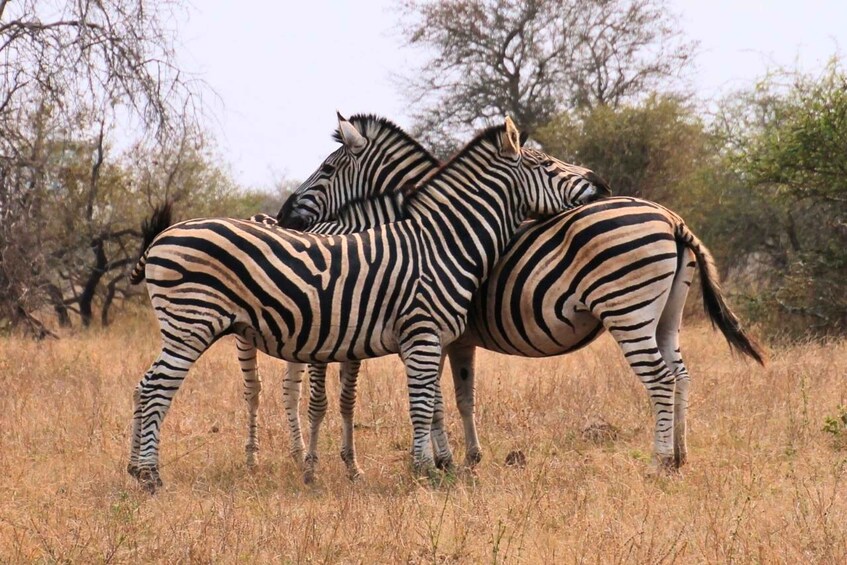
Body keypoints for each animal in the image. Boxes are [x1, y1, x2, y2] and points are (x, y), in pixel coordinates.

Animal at [126, 116, 608, 492]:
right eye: (547, 164)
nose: (601, 183)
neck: (442, 241)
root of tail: (164, 235)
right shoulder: (422, 334)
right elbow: (421, 405)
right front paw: (424, 472)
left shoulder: (430, 339)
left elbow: (430, 403)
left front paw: (436, 467)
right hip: (191, 325)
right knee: (159, 389)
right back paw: (152, 477)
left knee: (145, 385)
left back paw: (137, 469)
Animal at [274, 118, 765, 478]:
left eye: (328, 169)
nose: (283, 214)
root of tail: (671, 218)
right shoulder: (456, 338)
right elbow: (461, 396)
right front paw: (468, 458)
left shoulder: (430, 332)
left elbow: (435, 399)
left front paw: (444, 461)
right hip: (665, 316)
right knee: (680, 375)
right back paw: (679, 456)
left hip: (626, 309)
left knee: (660, 378)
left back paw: (659, 463)